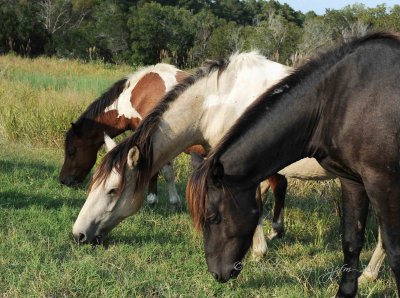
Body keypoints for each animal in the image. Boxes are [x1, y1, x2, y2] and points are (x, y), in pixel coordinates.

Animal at [187, 31, 400, 296]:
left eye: (213, 217)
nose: (217, 273)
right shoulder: (352, 181)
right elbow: (352, 242)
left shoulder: (383, 183)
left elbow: (394, 251)